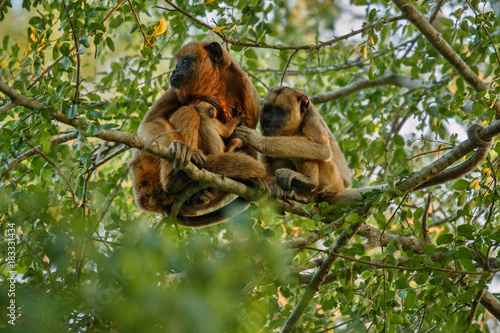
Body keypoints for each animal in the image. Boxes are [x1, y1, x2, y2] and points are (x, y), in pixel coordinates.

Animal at [133, 41, 266, 226]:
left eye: (184, 61)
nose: (174, 70)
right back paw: (176, 177)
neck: (216, 85)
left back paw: (202, 194)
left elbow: (246, 140)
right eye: (177, 63)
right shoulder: (175, 89)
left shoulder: (249, 94)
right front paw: (179, 148)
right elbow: (151, 121)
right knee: (188, 112)